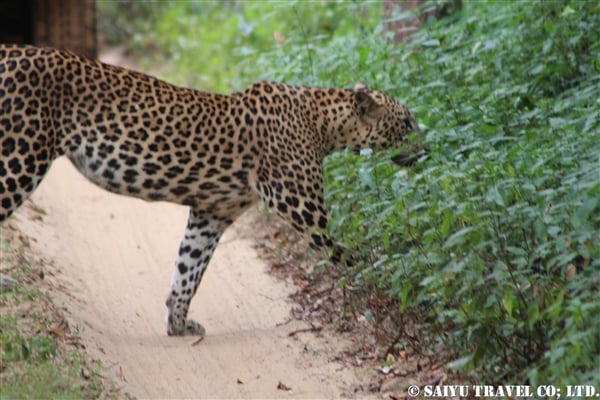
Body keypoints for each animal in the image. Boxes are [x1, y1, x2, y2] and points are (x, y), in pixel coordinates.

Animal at [1, 43, 422, 336]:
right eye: (406, 121)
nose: (428, 146)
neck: (323, 124)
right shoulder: (303, 207)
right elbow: (355, 259)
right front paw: (396, 295)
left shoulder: (213, 213)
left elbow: (188, 270)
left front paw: (178, 324)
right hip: (20, 157)